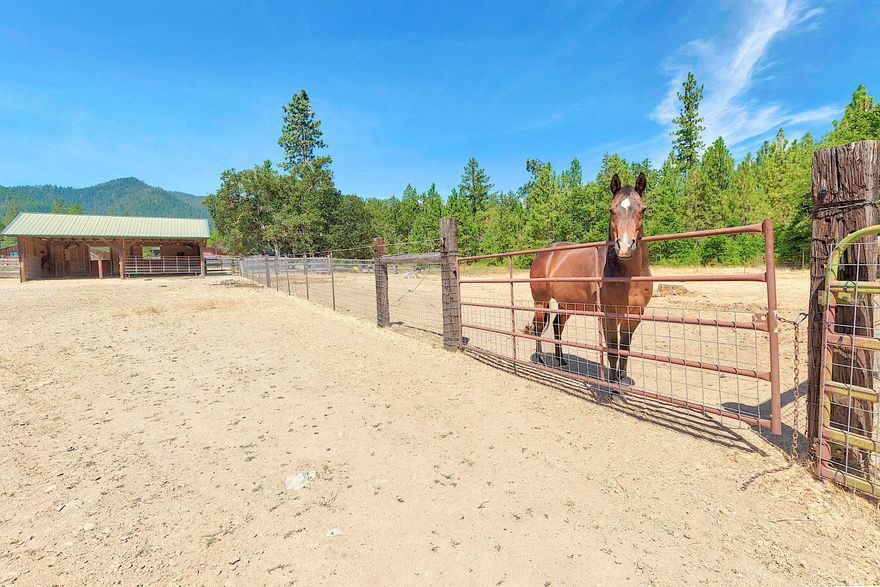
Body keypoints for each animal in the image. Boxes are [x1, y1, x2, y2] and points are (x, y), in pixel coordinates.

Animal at [524, 172, 653, 387]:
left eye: (642, 209)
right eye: (611, 210)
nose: (625, 247)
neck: (628, 276)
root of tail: (545, 253)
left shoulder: (635, 314)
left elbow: (624, 348)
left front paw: (622, 378)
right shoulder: (609, 315)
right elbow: (612, 350)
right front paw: (612, 385)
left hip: (567, 304)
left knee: (558, 326)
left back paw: (561, 360)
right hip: (541, 302)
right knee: (539, 328)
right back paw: (541, 359)